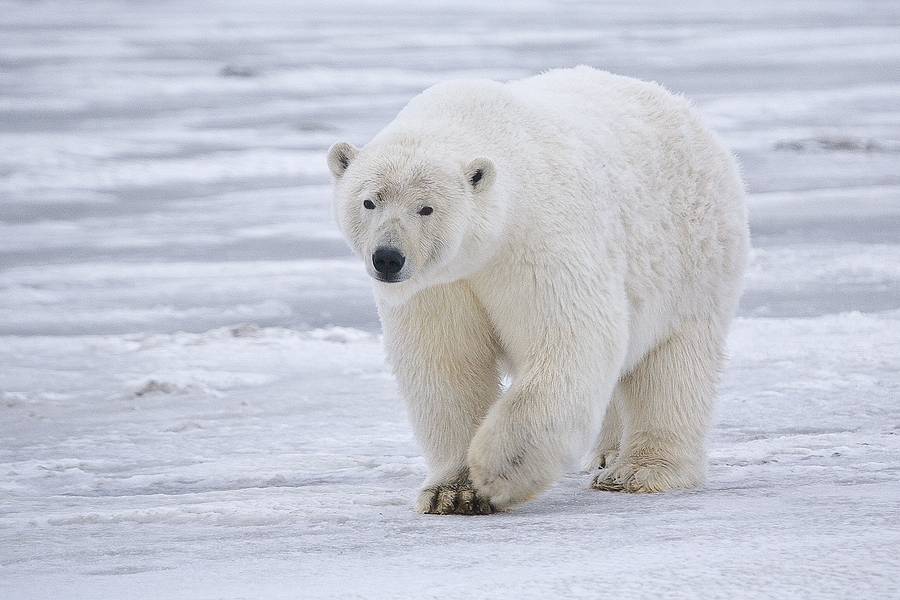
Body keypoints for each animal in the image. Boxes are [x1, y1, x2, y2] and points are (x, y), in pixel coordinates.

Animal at [327, 66, 748, 515]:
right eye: (369, 201)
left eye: (426, 208)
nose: (388, 258)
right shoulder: (439, 285)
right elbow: (446, 364)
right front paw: (452, 492)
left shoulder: (538, 240)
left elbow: (569, 339)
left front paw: (496, 471)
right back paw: (605, 454)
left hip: (693, 258)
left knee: (673, 367)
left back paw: (637, 471)